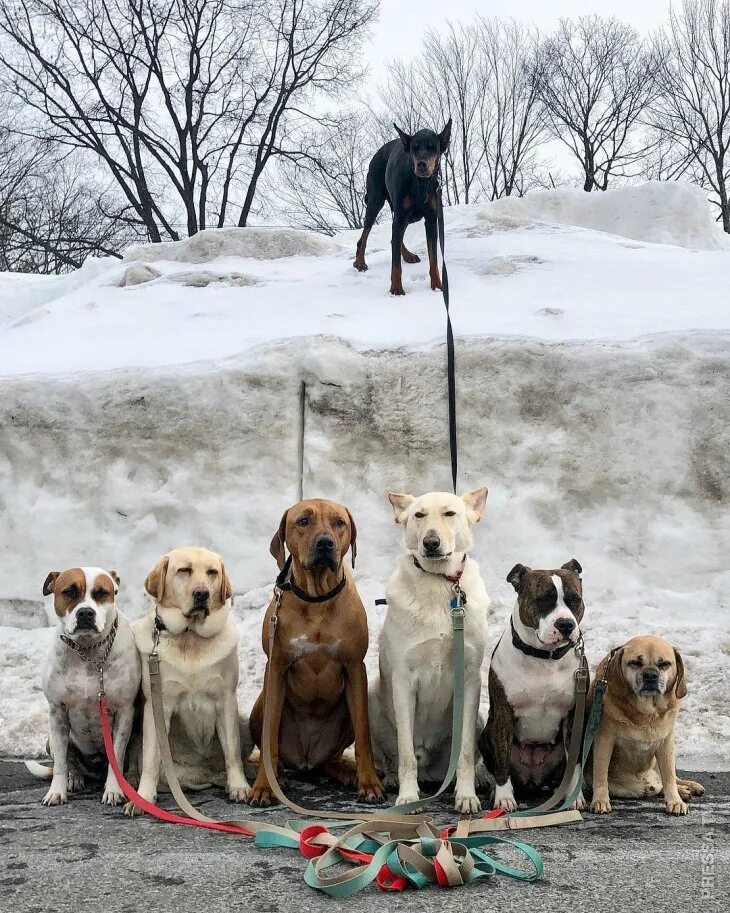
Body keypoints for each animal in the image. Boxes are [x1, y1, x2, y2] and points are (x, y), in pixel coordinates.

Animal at [125, 544, 250, 816]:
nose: (202, 594)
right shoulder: (157, 705)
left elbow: (232, 752)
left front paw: (240, 786)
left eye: (212, 572)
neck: (190, 638)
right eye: (184, 570)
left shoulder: (226, 700)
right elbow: (151, 760)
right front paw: (143, 798)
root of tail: (203, 774)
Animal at [246, 498, 384, 804]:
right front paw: (263, 786)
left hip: (345, 710)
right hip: (260, 706)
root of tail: (306, 759)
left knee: (330, 759)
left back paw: (345, 771)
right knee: (275, 749)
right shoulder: (276, 667)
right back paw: (280, 777)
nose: (325, 543)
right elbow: (268, 739)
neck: (317, 598)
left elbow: (365, 736)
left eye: (339, 522)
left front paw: (369, 783)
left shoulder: (355, 667)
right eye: (303, 521)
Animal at [370, 488, 490, 816]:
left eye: (450, 513)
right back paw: (390, 779)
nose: (431, 542)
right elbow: (406, 754)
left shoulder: (470, 680)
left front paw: (466, 795)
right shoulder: (403, 681)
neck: (440, 584)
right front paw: (408, 797)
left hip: (479, 717)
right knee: (394, 757)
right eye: (419, 515)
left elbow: (464, 753)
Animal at [584, 636, 700, 820]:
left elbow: (669, 777)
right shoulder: (604, 740)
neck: (646, 713)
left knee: (670, 779)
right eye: (635, 663)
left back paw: (687, 787)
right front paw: (600, 800)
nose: (650, 675)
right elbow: (600, 774)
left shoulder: (666, 743)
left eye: (664, 664)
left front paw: (675, 801)